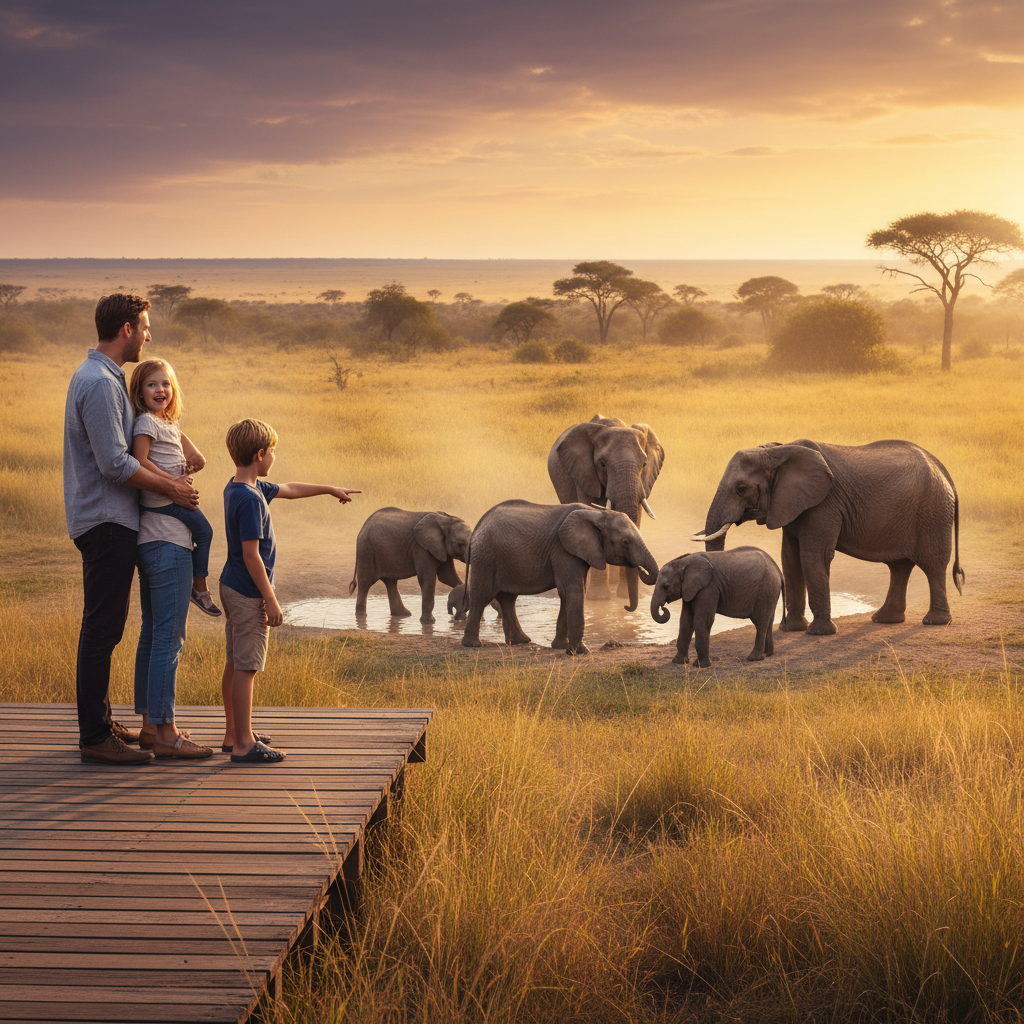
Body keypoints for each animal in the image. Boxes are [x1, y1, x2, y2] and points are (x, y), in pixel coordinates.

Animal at [460, 500, 659, 655]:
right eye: (625, 542)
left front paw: (562, 647)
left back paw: (521, 641)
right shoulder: (563, 549)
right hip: (485, 557)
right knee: (481, 596)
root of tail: (478, 525)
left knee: (508, 599)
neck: (595, 513)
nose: (626, 607)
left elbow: (569, 593)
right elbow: (573, 591)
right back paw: (473, 645)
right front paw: (581, 652)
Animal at [547, 414, 664, 611]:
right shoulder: (585, 473)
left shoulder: (642, 482)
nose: (627, 608)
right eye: (602, 464)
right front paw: (599, 599)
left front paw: (623, 597)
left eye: (644, 464)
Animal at [651, 548, 783, 668]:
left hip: (766, 590)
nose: (663, 608)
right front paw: (678, 662)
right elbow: (685, 621)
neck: (683, 562)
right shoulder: (690, 589)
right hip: (770, 592)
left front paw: (701, 666)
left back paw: (754, 658)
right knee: (769, 621)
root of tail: (778, 571)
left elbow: (702, 619)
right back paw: (768, 654)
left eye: (666, 587)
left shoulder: (709, 587)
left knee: (760, 622)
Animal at [693, 439, 964, 635]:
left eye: (741, 489)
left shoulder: (824, 504)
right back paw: (885, 619)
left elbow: (813, 556)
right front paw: (791, 629)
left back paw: (934, 622)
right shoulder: (791, 505)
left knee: (932, 564)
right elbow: (790, 559)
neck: (778, 450)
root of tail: (944, 471)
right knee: (899, 566)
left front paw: (818, 633)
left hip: (933, 511)